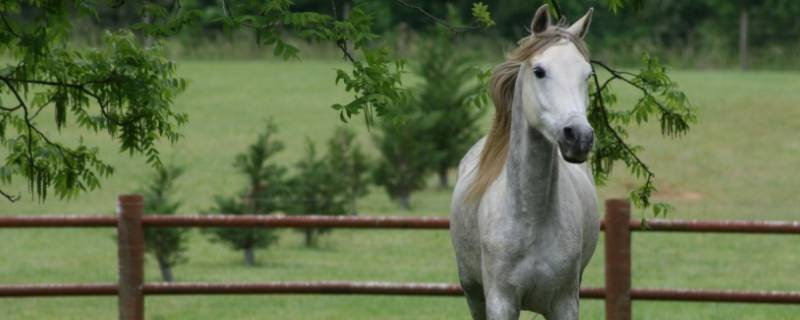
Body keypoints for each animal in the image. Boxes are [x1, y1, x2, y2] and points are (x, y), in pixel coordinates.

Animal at [450, 5, 600, 320]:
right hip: (473, 294)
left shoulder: (565, 303)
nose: (579, 137)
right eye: (539, 71)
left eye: (587, 74)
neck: (531, 220)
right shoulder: (501, 303)